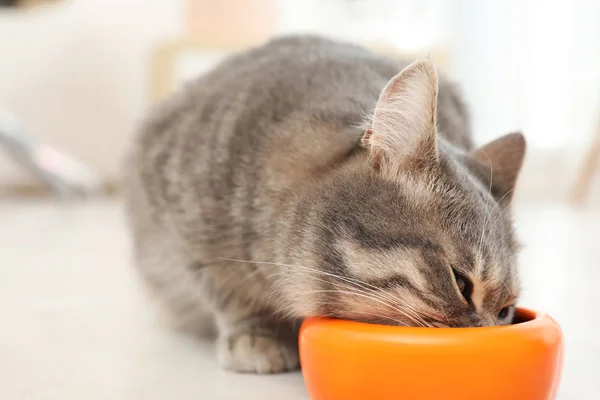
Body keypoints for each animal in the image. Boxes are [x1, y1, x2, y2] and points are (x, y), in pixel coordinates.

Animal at [123, 36, 524, 374]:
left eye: (505, 310)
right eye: (460, 281)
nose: (489, 338)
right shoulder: (182, 231)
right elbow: (227, 290)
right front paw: (258, 335)